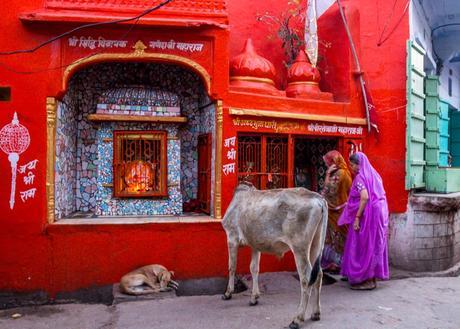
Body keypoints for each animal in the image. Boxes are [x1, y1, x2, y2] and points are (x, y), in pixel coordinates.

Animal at [222, 183, 328, 326]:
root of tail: (318, 198)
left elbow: (231, 267)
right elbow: (254, 268)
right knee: (319, 274)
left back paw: (297, 318)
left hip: (299, 248)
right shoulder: (255, 245)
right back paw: (316, 313)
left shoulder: (231, 238)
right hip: (316, 244)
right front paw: (254, 297)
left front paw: (228, 293)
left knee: (306, 278)